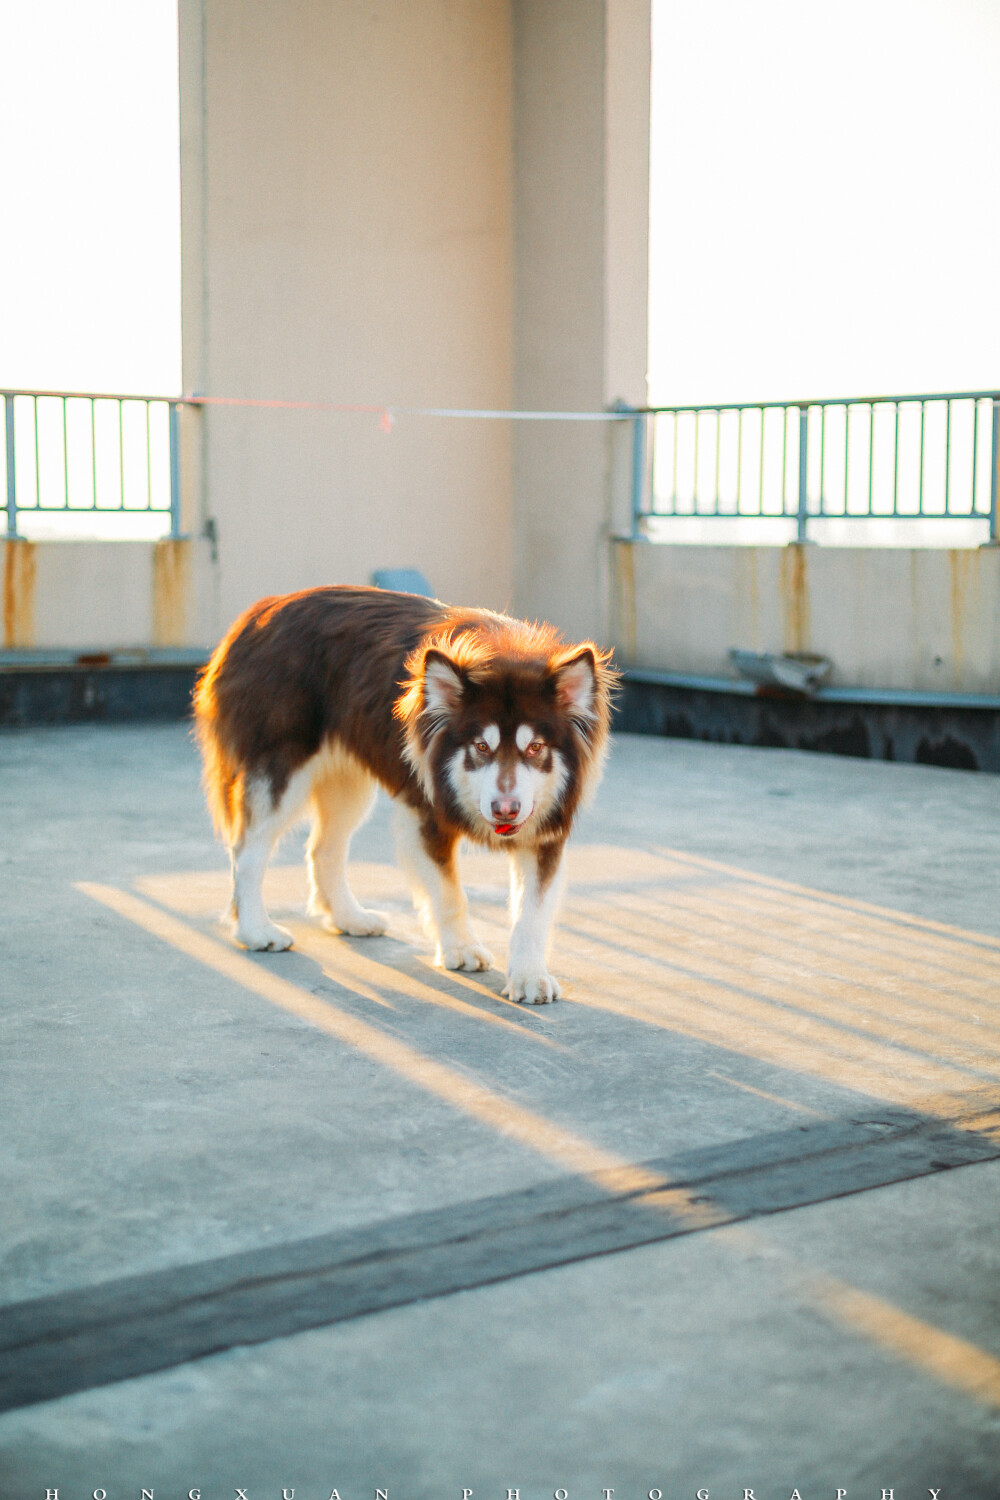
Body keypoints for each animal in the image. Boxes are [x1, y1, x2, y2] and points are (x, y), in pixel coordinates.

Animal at [193, 591, 617, 1002]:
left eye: (535, 748)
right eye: (481, 746)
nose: (505, 811)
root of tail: (254, 617)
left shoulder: (544, 829)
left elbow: (532, 911)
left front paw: (530, 976)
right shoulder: (425, 812)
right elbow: (449, 894)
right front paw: (461, 949)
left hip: (348, 781)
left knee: (324, 849)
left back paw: (350, 918)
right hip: (281, 767)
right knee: (248, 851)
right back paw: (255, 930)